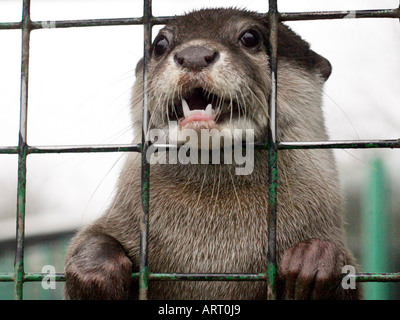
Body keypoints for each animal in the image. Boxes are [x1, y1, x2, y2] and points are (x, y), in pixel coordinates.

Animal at [65, 8, 360, 300]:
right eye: (159, 44)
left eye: (250, 37)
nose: (194, 54)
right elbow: (91, 238)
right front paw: (95, 267)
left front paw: (314, 262)